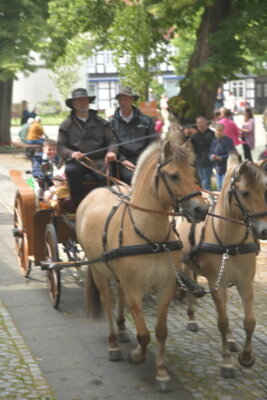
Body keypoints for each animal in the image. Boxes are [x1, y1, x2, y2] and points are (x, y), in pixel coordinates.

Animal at [75, 138, 209, 390]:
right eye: (174, 175)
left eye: (194, 172)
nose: (201, 209)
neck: (151, 238)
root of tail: (96, 190)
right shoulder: (134, 288)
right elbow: (145, 333)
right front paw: (137, 355)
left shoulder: (165, 287)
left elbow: (161, 331)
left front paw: (162, 372)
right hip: (99, 271)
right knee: (107, 301)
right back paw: (113, 343)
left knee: (118, 297)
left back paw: (121, 329)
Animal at [177, 152, 267, 378]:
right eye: (245, 193)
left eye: (265, 191)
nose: (264, 231)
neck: (230, 242)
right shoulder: (215, 284)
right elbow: (222, 321)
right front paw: (227, 362)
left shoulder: (245, 283)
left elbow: (249, 322)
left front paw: (247, 356)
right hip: (185, 263)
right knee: (189, 286)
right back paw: (191, 317)